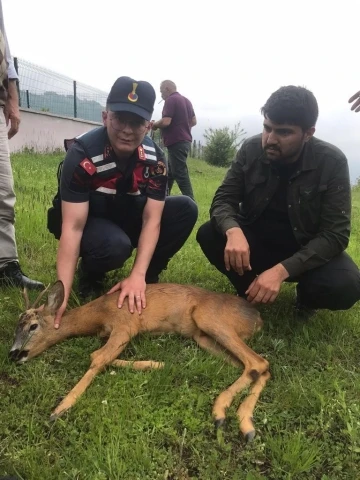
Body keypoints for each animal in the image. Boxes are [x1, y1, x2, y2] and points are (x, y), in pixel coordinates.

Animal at [9, 282, 270, 442]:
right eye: (16, 325)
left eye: (33, 326)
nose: (13, 353)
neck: (99, 314)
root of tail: (258, 318)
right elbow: (104, 357)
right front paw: (156, 365)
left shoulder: (126, 324)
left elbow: (97, 357)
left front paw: (60, 408)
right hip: (204, 337)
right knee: (258, 367)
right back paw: (243, 423)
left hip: (210, 319)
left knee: (258, 362)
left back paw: (222, 414)